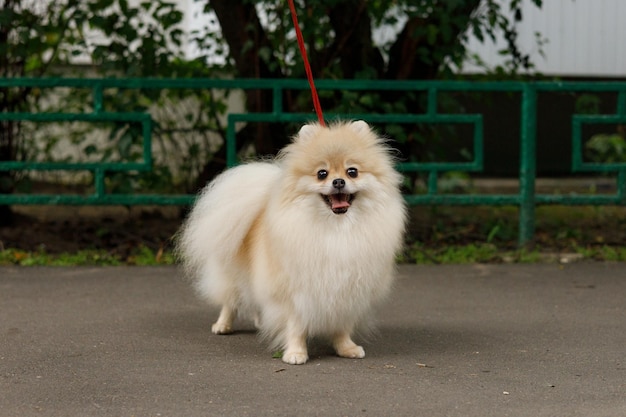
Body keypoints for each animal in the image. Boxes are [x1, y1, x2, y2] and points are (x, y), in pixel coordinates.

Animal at [178, 118, 408, 362]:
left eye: (352, 171)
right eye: (322, 173)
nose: (338, 181)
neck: (336, 229)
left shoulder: (347, 292)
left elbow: (341, 325)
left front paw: (346, 348)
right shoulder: (295, 290)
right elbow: (296, 325)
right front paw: (296, 353)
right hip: (233, 274)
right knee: (230, 300)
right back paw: (223, 325)